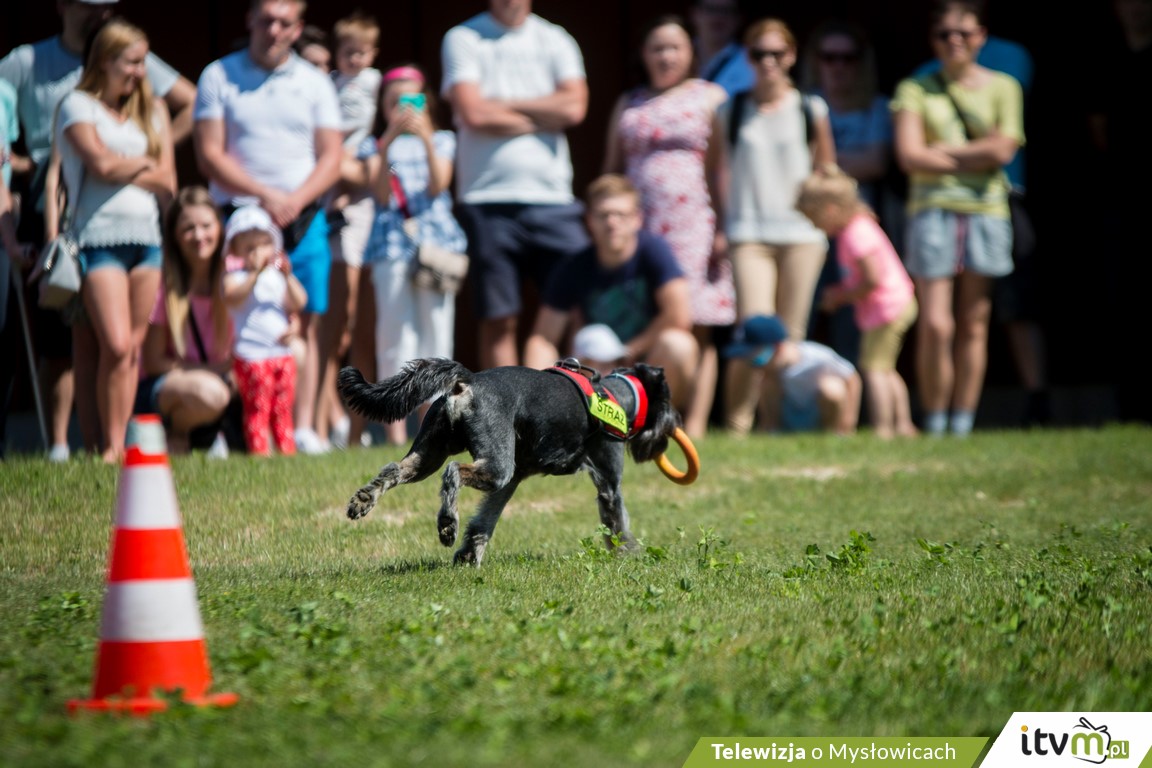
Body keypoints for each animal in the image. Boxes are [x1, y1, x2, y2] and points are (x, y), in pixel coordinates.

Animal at [337, 357, 681, 565]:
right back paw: (447, 523)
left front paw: (470, 555)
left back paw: (363, 500)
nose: (674, 425)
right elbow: (617, 521)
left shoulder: (512, 481)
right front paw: (629, 553)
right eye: (667, 400)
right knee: (453, 472)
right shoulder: (609, 481)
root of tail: (467, 380)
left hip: (431, 456)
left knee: (394, 469)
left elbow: (485, 520)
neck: (618, 395)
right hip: (492, 467)